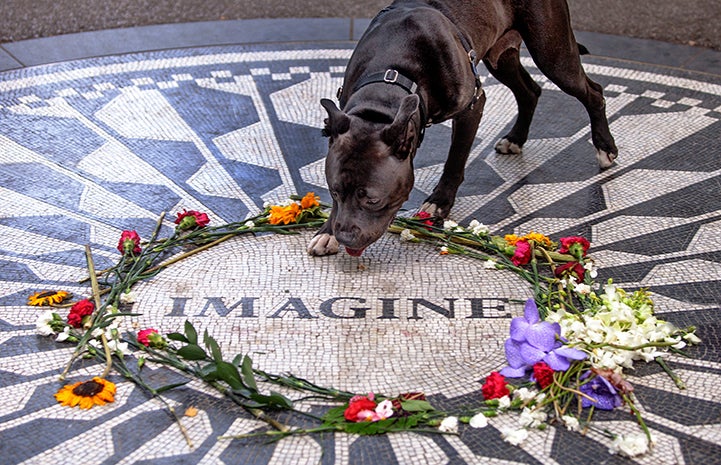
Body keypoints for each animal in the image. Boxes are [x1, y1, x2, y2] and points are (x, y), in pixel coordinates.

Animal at [306, 0, 616, 258]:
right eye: (334, 192)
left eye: (372, 200)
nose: (344, 237)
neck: (392, 77)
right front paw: (326, 232)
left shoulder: (472, 107)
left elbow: (455, 160)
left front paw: (438, 203)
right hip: (500, 57)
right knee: (530, 91)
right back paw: (516, 138)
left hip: (553, 56)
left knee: (593, 92)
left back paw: (605, 147)